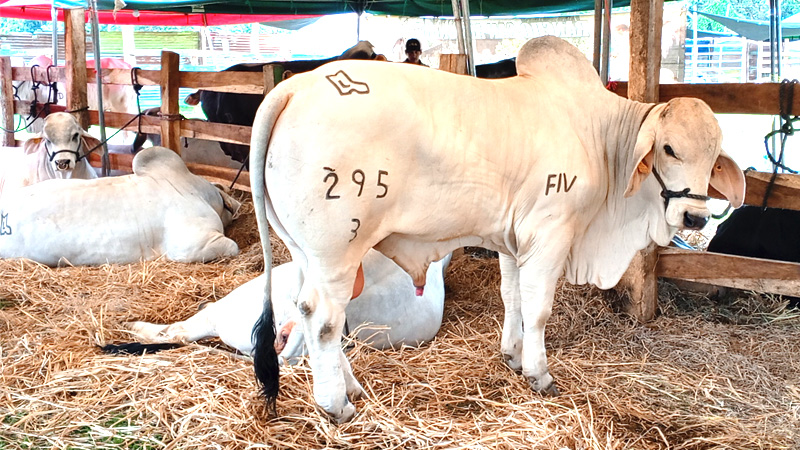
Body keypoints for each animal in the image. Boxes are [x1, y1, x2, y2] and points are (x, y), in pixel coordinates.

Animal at [247, 36, 748, 422]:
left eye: (714, 157)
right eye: (668, 148)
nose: (695, 218)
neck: (602, 138)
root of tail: (295, 85)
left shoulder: (511, 240)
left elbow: (512, 297)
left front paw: (511, 353)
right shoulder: (550, 234)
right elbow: (539, 309)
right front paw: (538, 372)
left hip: (306, 252)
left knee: (306, 313)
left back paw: (351, 387)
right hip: (337, 248)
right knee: (324, 320)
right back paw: (337, 404)